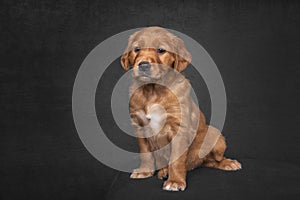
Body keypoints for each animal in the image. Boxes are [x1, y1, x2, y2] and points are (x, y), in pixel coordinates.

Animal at [120, 26, 240, 191]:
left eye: (161, 50)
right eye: (136, 49)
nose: (143, 65)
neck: (153, 91)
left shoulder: (179, 128)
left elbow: (176, 158)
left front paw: (175, 181)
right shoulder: (140, 126)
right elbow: (145, 153)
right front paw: (145, 171)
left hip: (214, 134)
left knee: (212, 160)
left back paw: (228, 162)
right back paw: (163, 171)